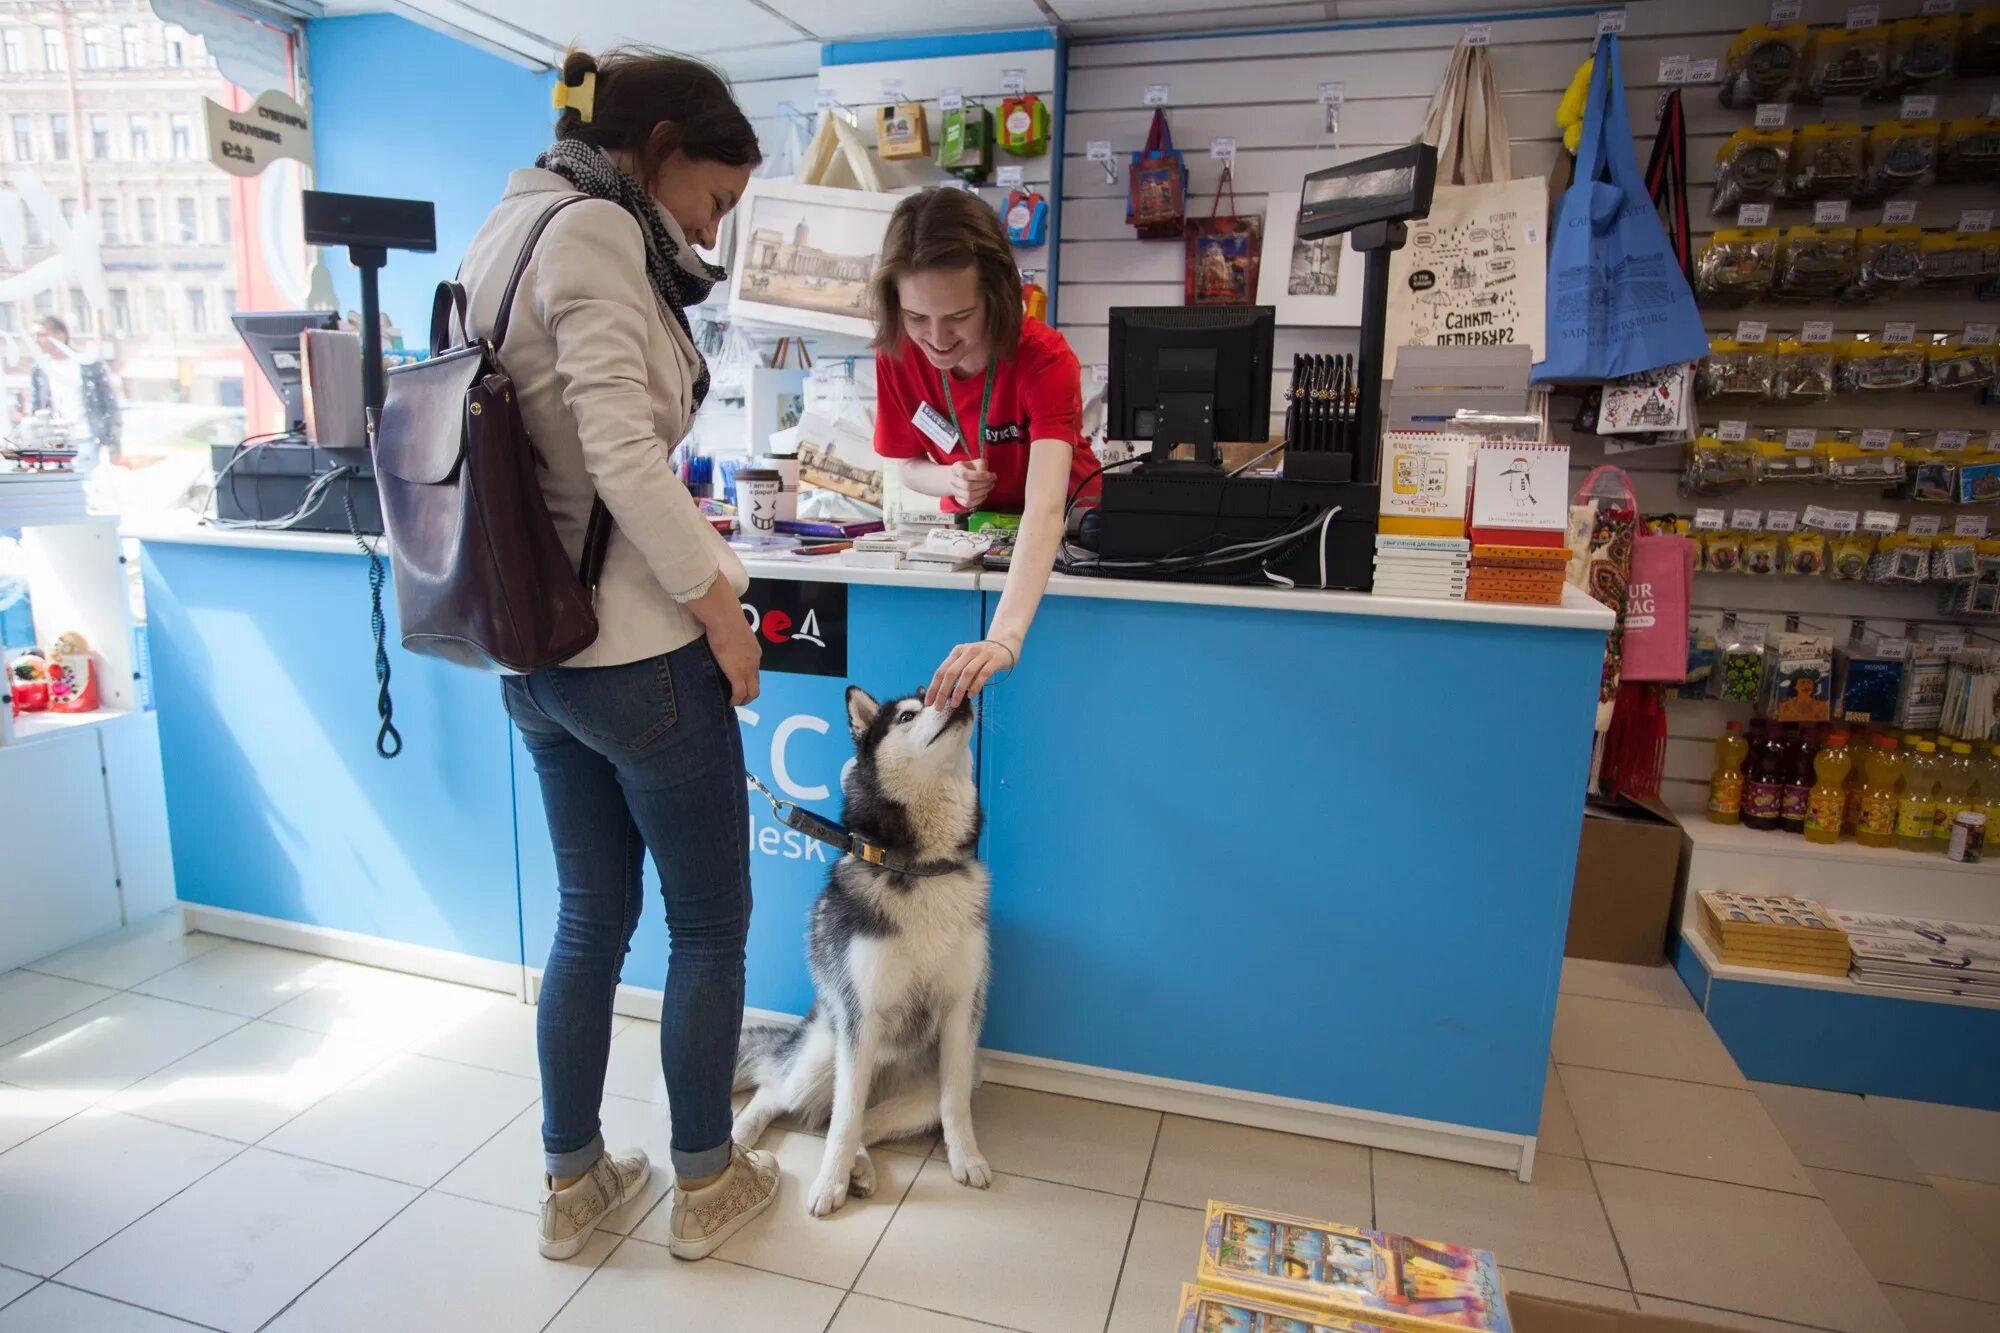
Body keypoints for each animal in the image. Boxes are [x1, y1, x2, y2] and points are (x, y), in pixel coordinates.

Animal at [732, 684, 988, 1216]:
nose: (960, 698)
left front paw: (966, 1158)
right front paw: (828, 1183)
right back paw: (746, 1137)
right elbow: (845, 1118)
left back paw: (861, 1169)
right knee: (782, 1094)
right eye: (908, 715)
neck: (918, 868)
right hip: (825, 1052)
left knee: (855, 1121)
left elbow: (954, 1105)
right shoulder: (860, 1017)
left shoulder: (961, 1014)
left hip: (928, 1086)